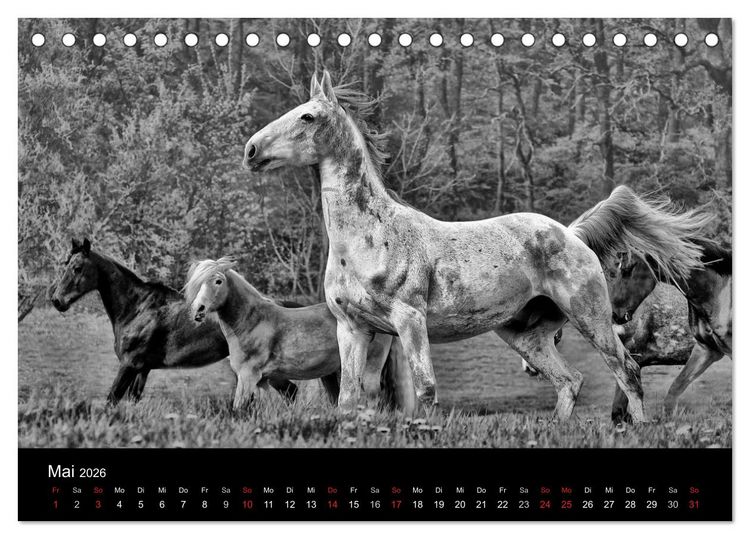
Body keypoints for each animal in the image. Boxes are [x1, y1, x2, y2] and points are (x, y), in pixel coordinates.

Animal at [49, 239, 307, 404]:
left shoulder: (129, 365)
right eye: (66, 264)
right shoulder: (142, 369)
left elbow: (112, 399)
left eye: (77, 267)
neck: (137, 308)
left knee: (289, 393)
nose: (57, 300)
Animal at [184, 257, 415, 411]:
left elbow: (239, 409)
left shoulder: (248, 376)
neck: (253, 322)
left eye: (218, 281)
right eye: (197, 283)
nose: (198, 310)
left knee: (372, 399)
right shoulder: (265, 380)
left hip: (369, 369)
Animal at [242, 70, 712, 422]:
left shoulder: (410, 321)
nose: (250, 150)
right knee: (570, 381)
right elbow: (349, 399)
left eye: (307, 116)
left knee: (626, 371)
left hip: (591, 317)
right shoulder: (353, 328)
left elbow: (426, 390)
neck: (367, 239)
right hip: (525, 335)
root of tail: (572, 234)